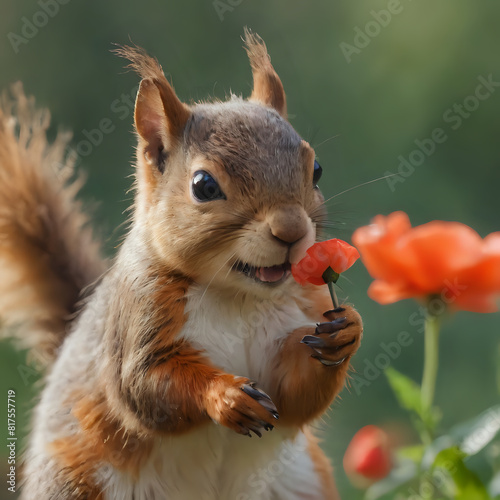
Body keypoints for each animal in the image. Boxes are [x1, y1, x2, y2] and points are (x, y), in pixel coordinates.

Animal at [0, 29, 362, 498]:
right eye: (204, 186)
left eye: (316, 169)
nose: (291, 231)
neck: (238, 298)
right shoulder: (140, 317)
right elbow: (144, 386)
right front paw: (225, 396)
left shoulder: (303, 314)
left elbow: (297, 394)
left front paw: (347, 333)